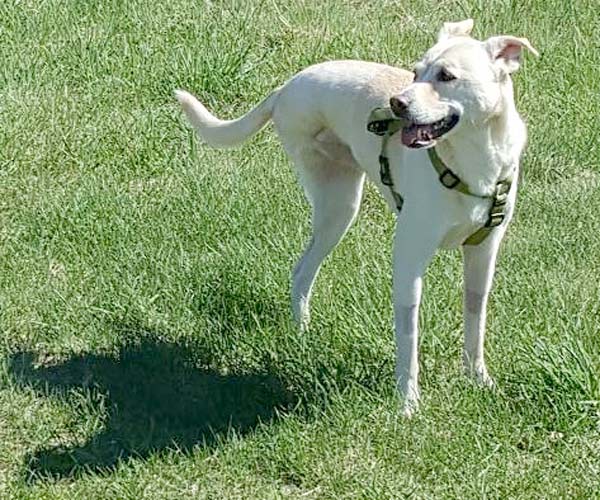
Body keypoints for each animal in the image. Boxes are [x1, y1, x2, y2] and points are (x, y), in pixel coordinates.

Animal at [176, 19, 536, 416]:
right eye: (415, 72)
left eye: (446, 76)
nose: (397, 103)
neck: (473, 161)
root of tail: (286, 87)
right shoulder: (409, 257)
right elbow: (408, 338)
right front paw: (408, 403)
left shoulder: (483, 253)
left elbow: (475, 322)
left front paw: (479, 380)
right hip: (338, 207)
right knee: (302, 270)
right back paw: (302, 334)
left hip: (340, 208)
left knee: (302, 271)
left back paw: (303, 333)